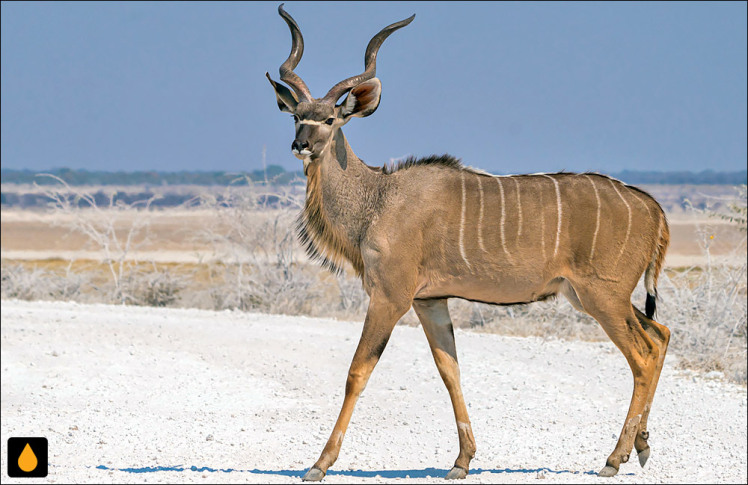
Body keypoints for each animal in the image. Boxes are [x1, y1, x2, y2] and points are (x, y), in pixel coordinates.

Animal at [268, 4, 672, 480]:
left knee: (643, 354)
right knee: (661, 335)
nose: (301, 145)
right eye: (296, 116)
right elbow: (450, 371)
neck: (378, 199)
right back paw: (640, 446)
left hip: (602, 296)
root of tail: (652, 208)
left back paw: (613, 458)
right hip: (596, 296)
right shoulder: (429, 301)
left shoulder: (390, 296)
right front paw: (461, 461)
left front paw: (319, 464)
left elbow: (357, 371)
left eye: (330, 119)